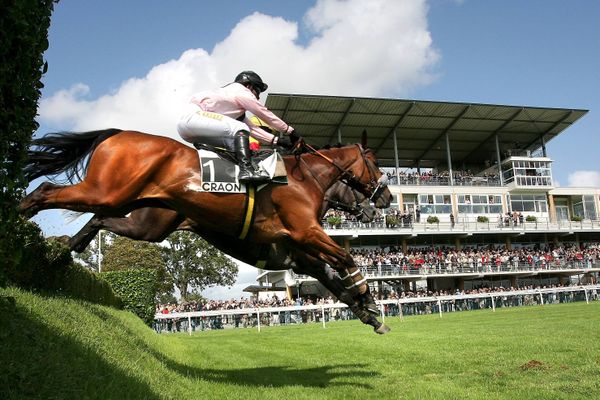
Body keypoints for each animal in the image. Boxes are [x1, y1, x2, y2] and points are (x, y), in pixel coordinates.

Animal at [21, 128, 392, 332]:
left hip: (144, 222)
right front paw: (369, 297)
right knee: (46, 192)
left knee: (97, 219)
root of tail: (117, 134)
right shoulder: (306, 234)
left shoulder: (300, 254)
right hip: (106, 191)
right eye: (375, 164)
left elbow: (335, 281)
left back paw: (60, 256)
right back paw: (20, 218)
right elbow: (346, 260)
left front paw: (370, 313)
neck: (304, 180)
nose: (385, 200)